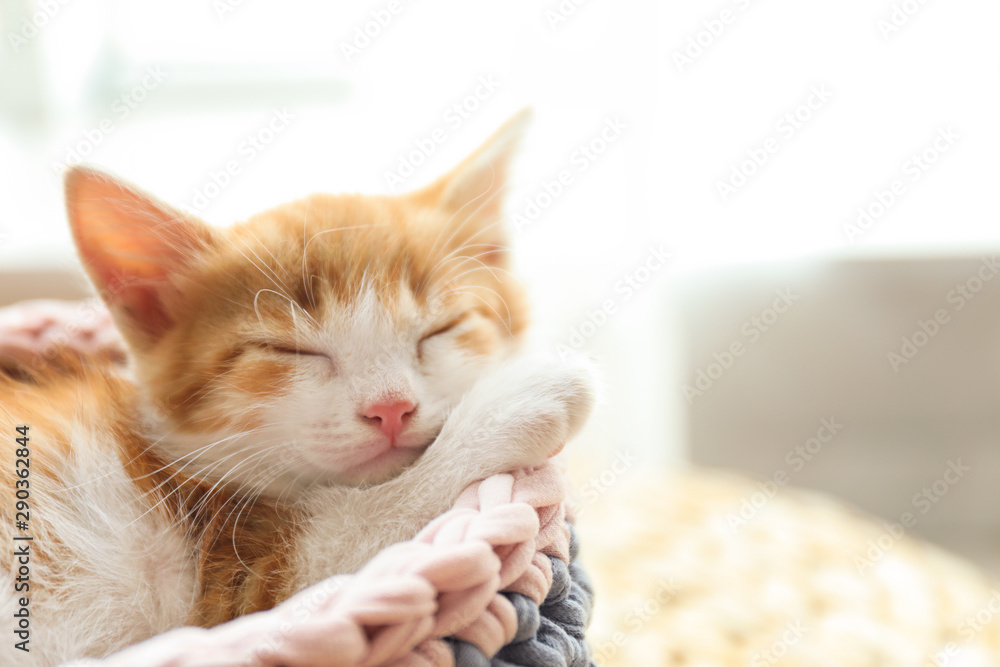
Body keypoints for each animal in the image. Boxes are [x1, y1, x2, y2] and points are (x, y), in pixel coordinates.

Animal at [0, 112, 592, 664]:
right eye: (291, 350)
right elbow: (362, 542)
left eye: (440, 329)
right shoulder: (235, 596)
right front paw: (524, 399)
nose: (391, 409)